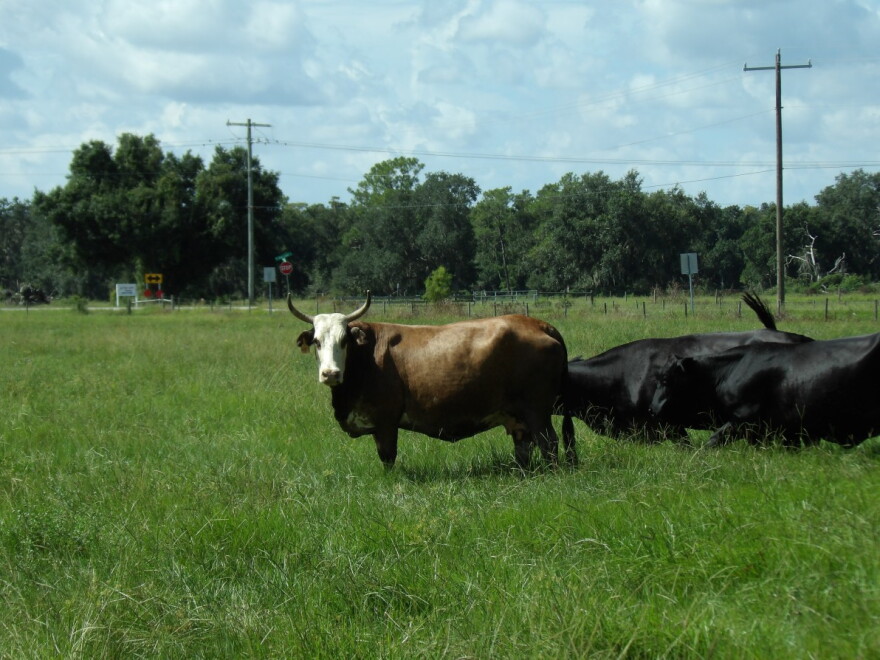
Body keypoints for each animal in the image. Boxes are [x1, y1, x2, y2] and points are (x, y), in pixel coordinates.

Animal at [288, 292, 572, 469]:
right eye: (316, 341)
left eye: (344, 340)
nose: (331, 373)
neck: (366, 357)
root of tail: (538, 324)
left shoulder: (386, 421)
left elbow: (388, 457)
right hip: (518, 415)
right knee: (524, 445)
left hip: (537, 411)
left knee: (548, 444)